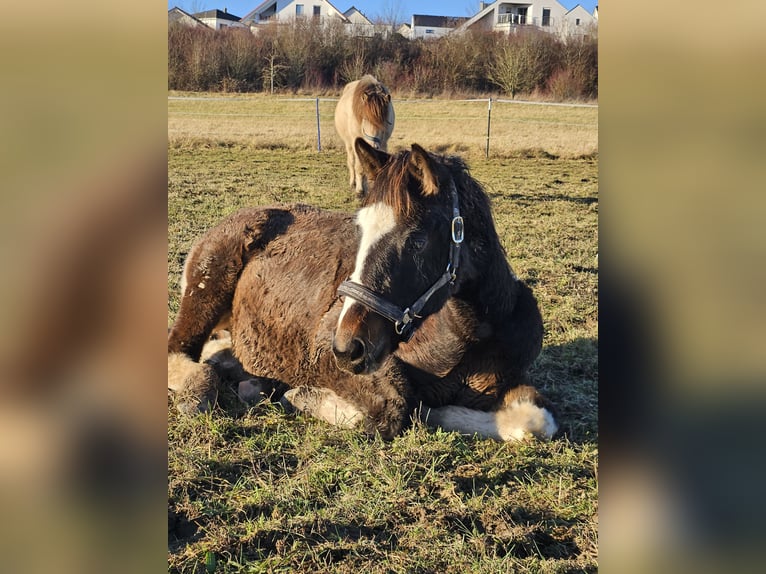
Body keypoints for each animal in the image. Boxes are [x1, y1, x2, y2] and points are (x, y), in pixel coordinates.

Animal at [168, 141, 560, 446]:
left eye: (417, 240)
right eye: (359, 231)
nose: (348, 347)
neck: (467, 333)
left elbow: (536, 422)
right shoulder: (324, 353)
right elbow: (394, 407)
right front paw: (304, 396)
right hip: (206, 291)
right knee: (178, 351)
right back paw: (200, 389)